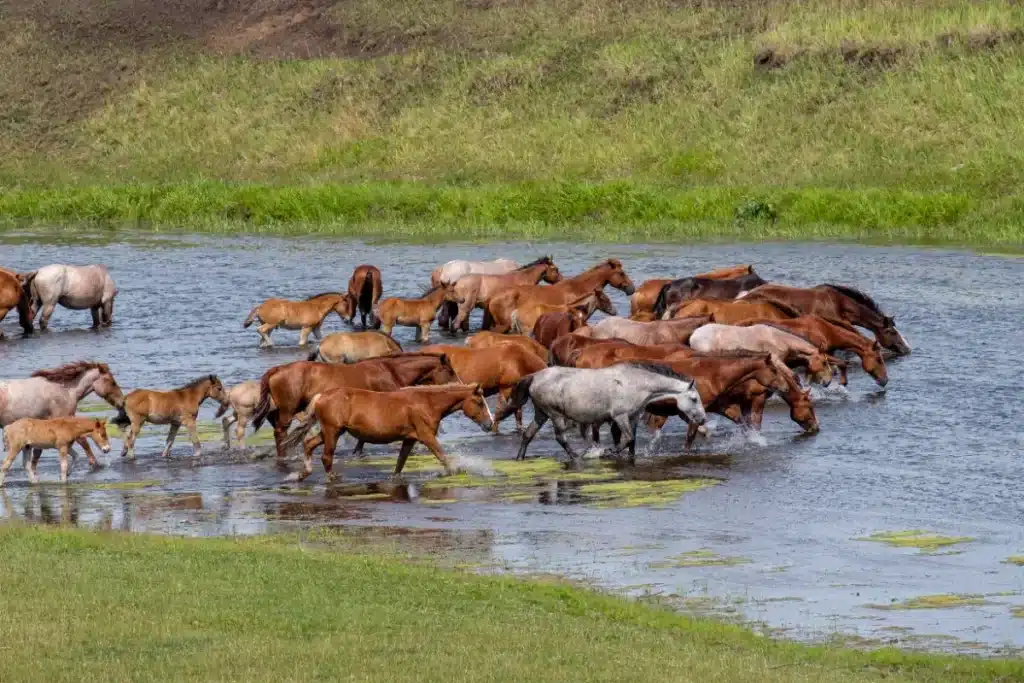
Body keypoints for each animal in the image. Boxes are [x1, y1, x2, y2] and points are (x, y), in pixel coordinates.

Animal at [251, 354, 458, 461]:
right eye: (450, 370)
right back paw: (283, 456)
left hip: (278, 411)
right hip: (288, 410)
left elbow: (362, 438)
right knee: (280, 432)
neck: (391, 371)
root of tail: (277, 369)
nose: (461, 384)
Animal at [283, 384, 494, 482]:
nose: (490, 424)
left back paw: (301, 475)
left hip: (331, 432)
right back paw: (331, 478)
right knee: (326, 457)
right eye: (480, 402)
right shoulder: (426, 437)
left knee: (309, 444)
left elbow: (400, 464)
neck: (426, 402)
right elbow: (443, 457)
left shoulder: (409, 440)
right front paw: (455, 471)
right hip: (332, 432)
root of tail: (321, 396)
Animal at [495, 363, 705, 464]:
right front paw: (606, 452)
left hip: (541, 413)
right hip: (554, 414)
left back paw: (519, 458)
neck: (636, 383)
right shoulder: (620, 416)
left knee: (528, 435)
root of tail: (534, 376)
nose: (703, 419)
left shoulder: (633, 417)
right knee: (560, 438)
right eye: (694, 399)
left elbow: (632, 442)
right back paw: (579, 457)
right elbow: (627, 439)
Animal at [689, 324, 835, 386]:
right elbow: (794, 377)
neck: (777, 339)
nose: (828, 382)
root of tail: (693, 335)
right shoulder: (776, 360)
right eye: (824, 362)